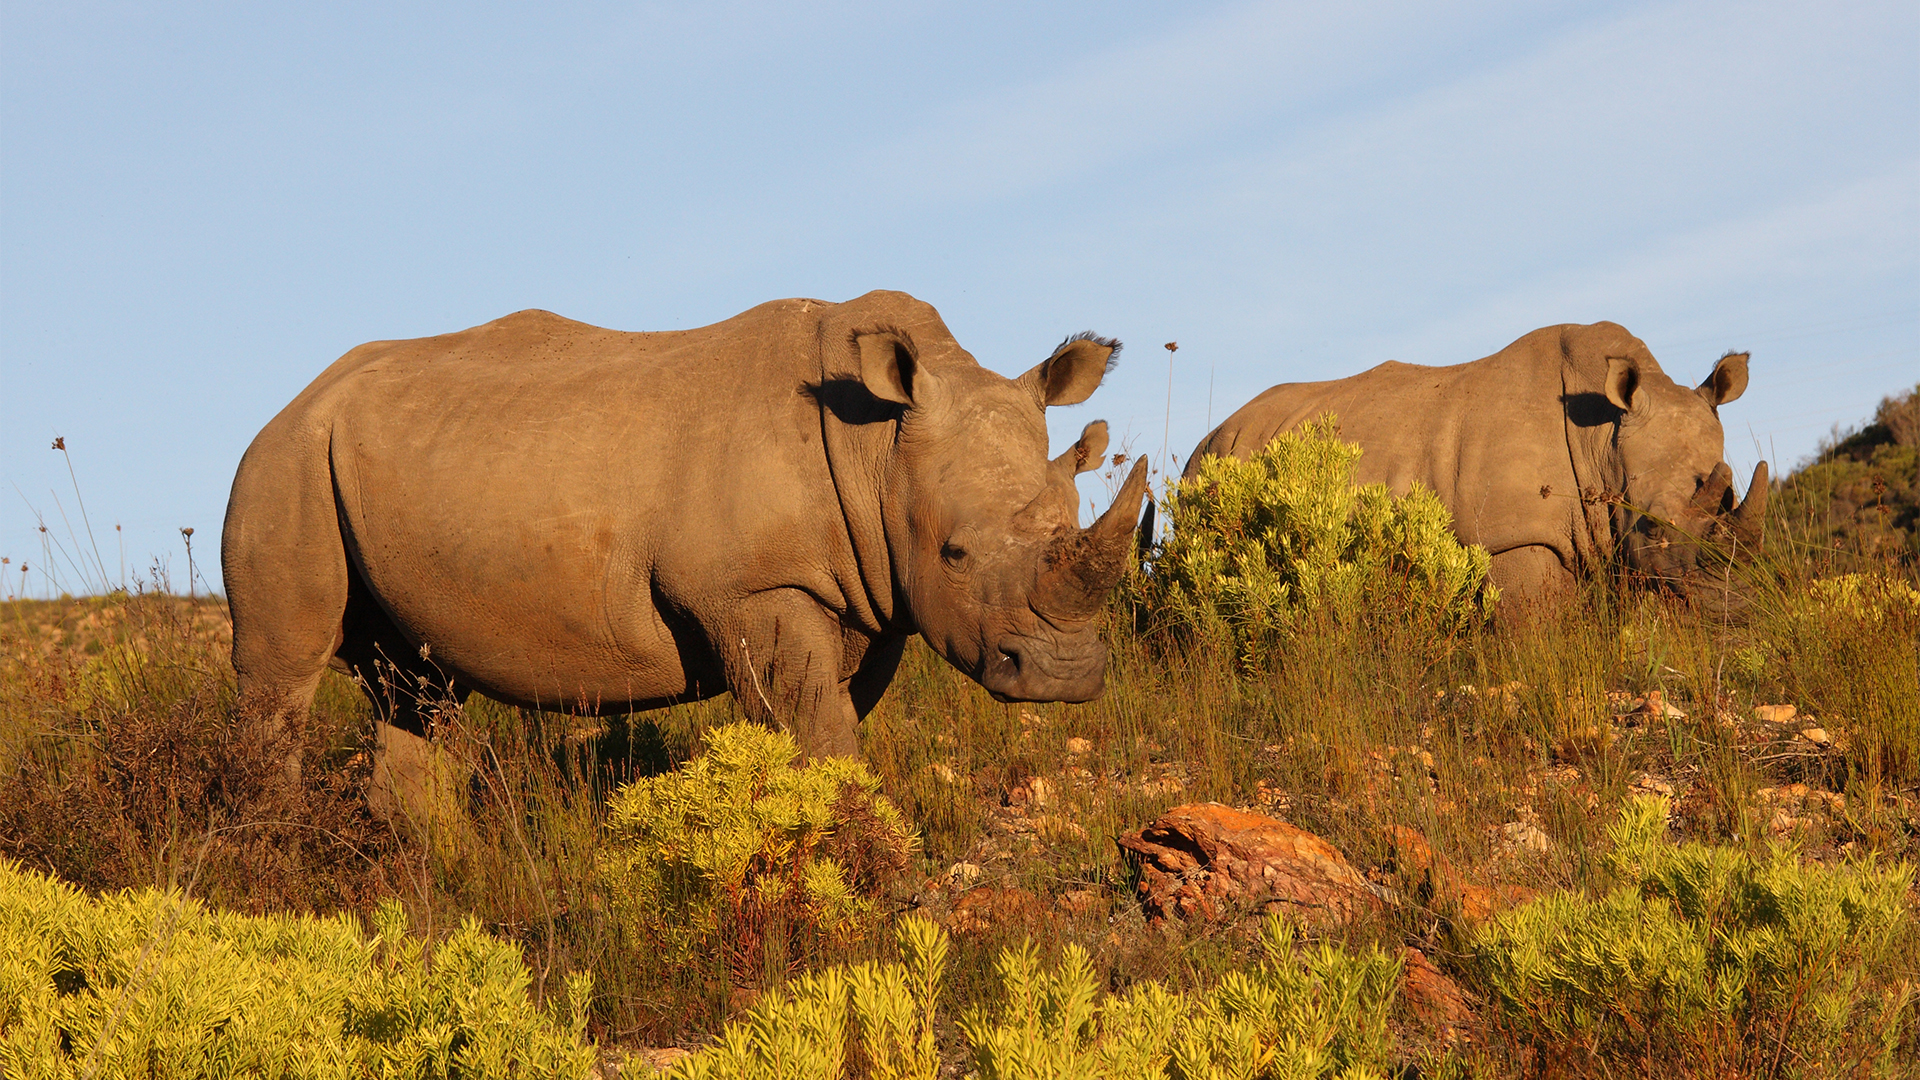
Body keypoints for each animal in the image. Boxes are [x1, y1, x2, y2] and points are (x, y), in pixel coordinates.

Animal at [223, 290, 1149, 765]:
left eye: (1069, 521)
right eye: (955, 552)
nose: (1063, 677)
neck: (880, 449)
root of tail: (296, 399)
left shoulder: (872, 596)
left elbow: (831, 719)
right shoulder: (753, 586)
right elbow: (819, 730)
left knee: (416, 691)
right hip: (285, 463)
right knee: (284, 674)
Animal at [1185, 322, 1767, 603]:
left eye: (1728, 499)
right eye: (1653, 526)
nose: (1727, 598)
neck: (1603, 437)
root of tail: (1210, 436)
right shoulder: (1516, 535)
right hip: (1212, 468)